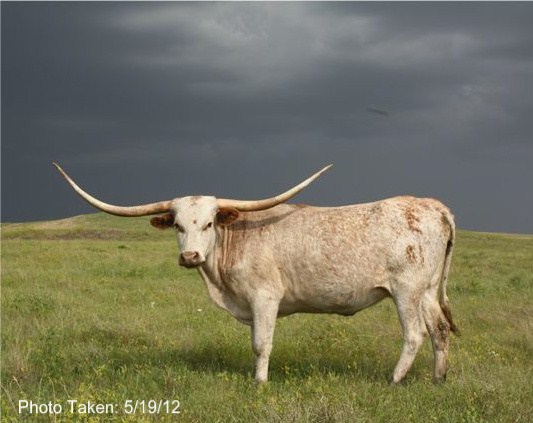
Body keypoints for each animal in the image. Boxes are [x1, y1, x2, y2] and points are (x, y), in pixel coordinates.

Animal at [53, 162, 459, 384]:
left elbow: (261, 344)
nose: (190, 256)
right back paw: (438, 379)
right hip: (427, 290)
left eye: (210, 222)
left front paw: (260, 382)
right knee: (440, 330)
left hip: (406, 290)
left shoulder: (265, 298)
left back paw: (394, 379)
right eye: (178, 225)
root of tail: (434, 206)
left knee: (415, 335)